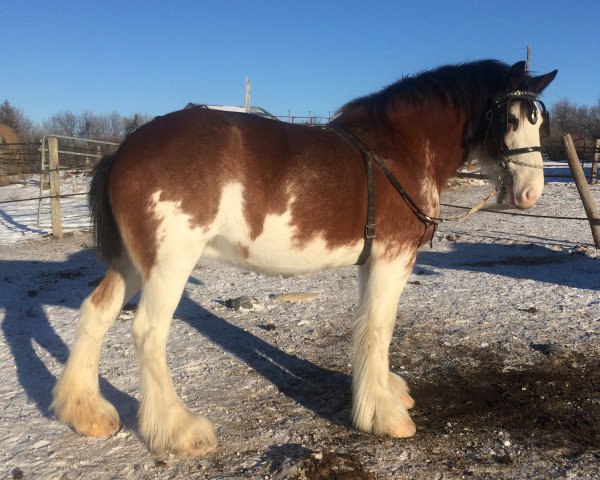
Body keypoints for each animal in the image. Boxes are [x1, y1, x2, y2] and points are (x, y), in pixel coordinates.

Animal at [51, 59, 556, 454]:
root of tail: (125, 149)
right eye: (511, 119)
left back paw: (85, 411)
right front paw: (382, 415)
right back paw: (178, 430)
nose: (531, 194)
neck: (400, 148)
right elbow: (379, 328)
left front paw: (387, 392)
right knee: (147, 332)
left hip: (133, 263)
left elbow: (373, 327)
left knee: (96, 313)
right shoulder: (392, 257)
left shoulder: (375, 261)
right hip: (169, 263)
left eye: (538, 121)